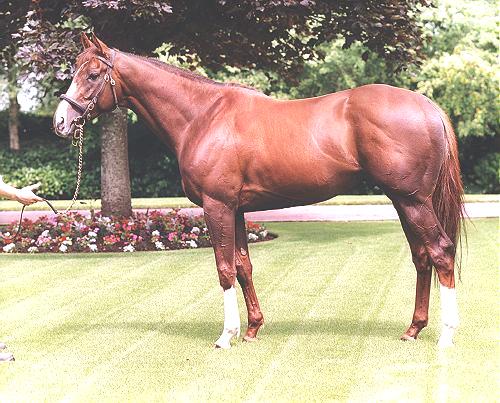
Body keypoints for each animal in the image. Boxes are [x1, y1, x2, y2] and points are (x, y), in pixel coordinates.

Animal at [53, 33, 464, 349]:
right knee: (422, 257)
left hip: (413, 201)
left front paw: (226, 336)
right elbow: (243, 266)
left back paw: (446, 335)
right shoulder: (235, 210)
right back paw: (413, 329)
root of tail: (427, 106)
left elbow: (223, 269)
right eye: (74, 71)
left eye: (93, 74)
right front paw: (252, 329)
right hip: (403, 202)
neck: (203, 116)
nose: (61, 121)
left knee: (441, 252)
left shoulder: (216, 207)